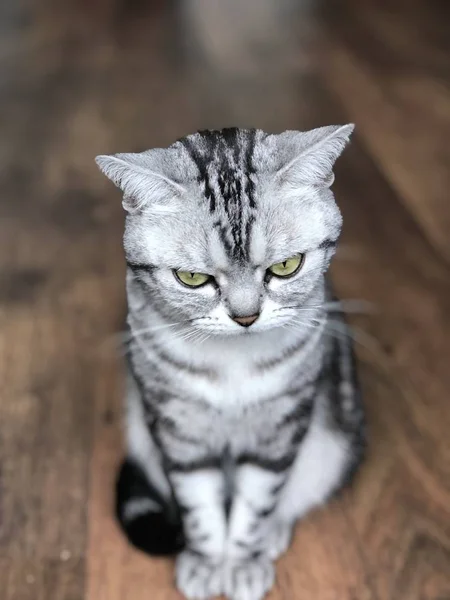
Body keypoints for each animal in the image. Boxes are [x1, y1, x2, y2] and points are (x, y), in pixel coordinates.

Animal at [96, 125, 366, 600]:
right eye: (191, 278)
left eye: (287, 266)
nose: (245, 317)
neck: (231, 366)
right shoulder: (179, 431)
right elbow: (199, 508)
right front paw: (207, 562)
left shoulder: (278, 431)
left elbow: (255, 505)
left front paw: (240, 562)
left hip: (331, 446)